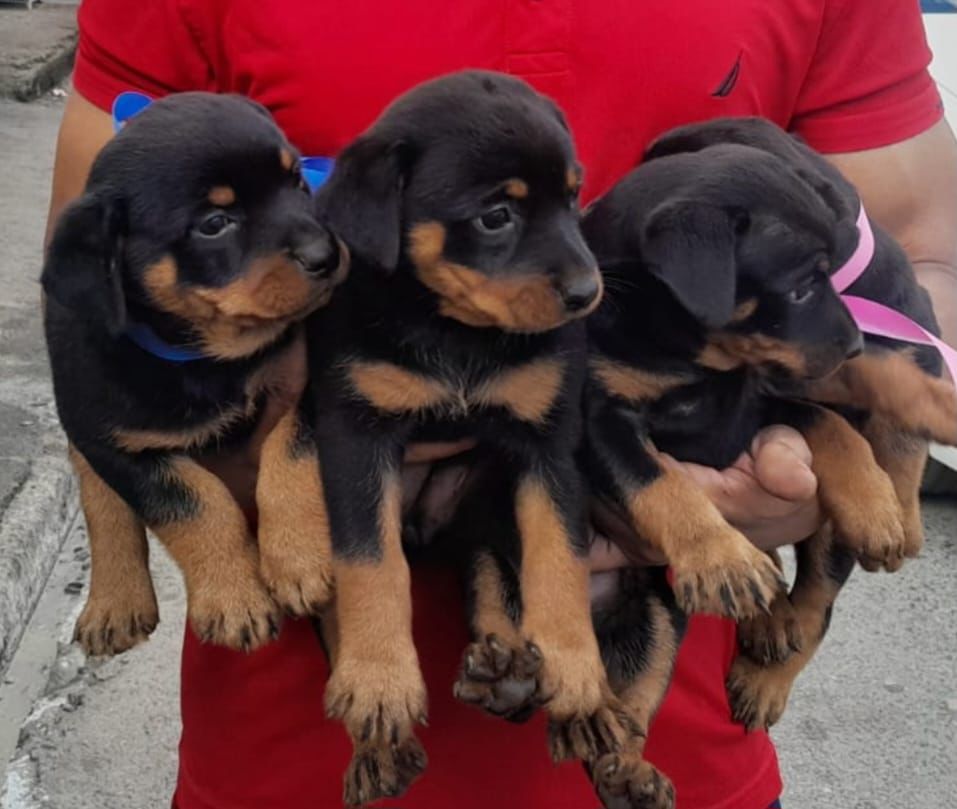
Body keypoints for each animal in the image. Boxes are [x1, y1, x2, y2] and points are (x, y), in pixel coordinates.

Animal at [43, 91, 348, 656]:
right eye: (214, 223)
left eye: (298, 182)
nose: (327, 254)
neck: (209, 357)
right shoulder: (116, 446)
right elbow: (196, 505)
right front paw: (234, 598)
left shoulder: (313, 384)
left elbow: (289, 455)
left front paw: (298, 560)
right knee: (98, 496)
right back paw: (114, 600)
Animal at [304, 72, 636, 804]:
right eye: (495, 216)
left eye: (573, 197)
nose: (588, 292)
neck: (456, 333)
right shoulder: (353, 435)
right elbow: (370, 563)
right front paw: (379, 678)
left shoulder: (547, 442)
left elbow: (558, 554)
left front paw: (574, 666)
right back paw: (377, 741)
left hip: (482, 505)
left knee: (489, 578)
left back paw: (509, 670)